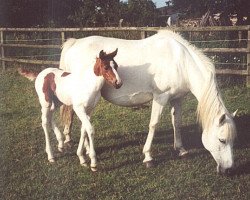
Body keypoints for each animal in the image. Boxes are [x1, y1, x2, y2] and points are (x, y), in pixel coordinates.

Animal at [59, 30, 237, 175]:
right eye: (222, 140)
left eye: (233, 139)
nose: (229, 170)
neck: (180, 62)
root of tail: (75, 43)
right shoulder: (160, 97)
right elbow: (153, 124)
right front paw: (148, 157)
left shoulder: (177, 99)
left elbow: (177, 122)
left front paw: (181, 149)